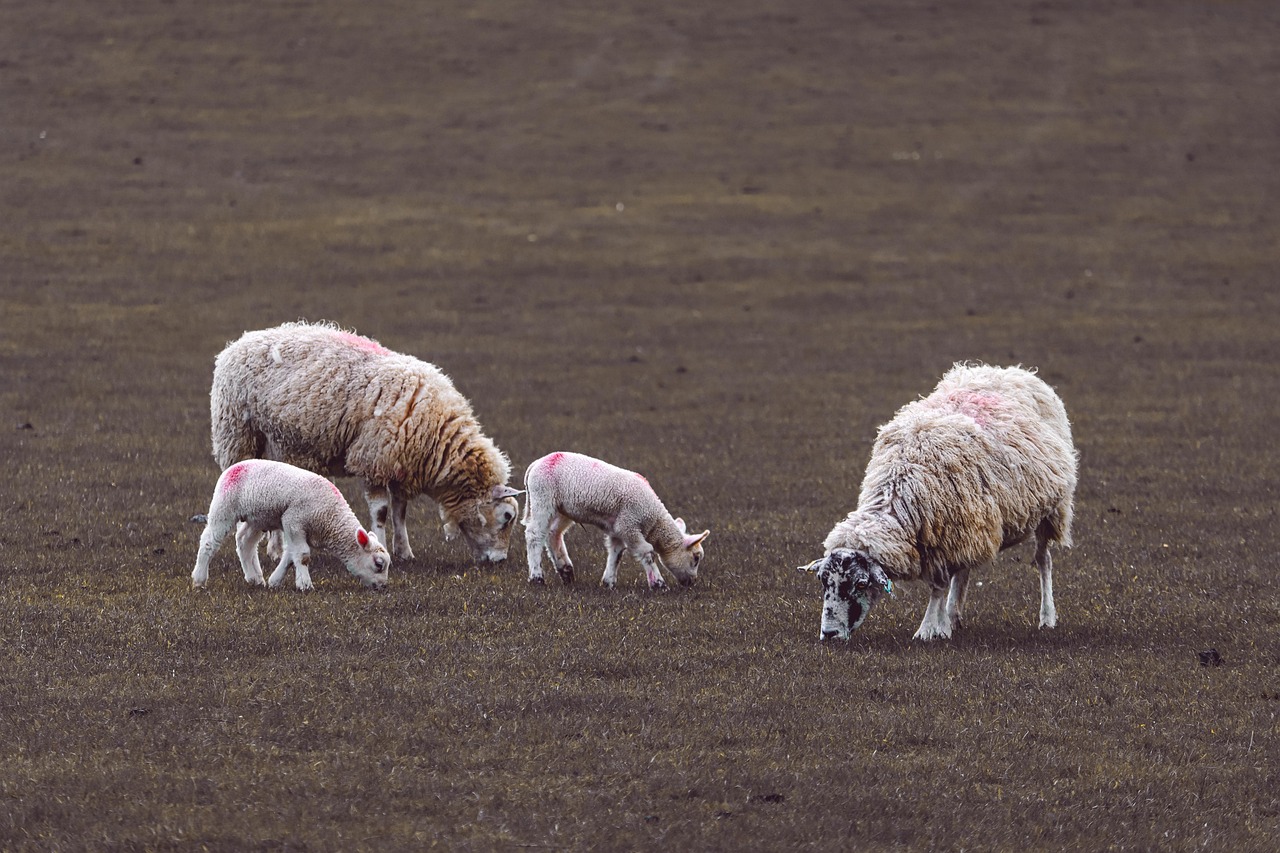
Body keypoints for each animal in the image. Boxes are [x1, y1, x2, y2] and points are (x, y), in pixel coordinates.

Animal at [190, 458, 389, 591]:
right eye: (379, 564)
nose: (383, 587)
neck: (331, 518)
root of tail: (233, 467)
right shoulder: (293, 520)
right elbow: (302, 556)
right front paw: (305, 585)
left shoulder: (300, 528)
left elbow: (290, 556)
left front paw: (274, 581)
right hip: (224, 507)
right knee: (208, 541)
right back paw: (199, 579)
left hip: (257, 518)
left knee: (245, 542)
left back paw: (255, 579)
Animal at [212, 318, 522, 563]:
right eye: (507, 517)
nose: (499, 560)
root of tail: (237, 343)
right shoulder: (374, 460)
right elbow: (382, 512)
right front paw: (382, 547)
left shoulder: (400, 465)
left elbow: (400, 512)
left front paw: (405, 551)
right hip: (239, 437)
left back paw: (276, 550)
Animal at [519, 448, 711, 589]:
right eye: (696, 558)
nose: (692, 583)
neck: (653, 518)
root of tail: (536, 463)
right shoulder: (629, 525)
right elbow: (647, 552)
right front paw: (658, 584)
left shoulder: (617, 528)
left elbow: (616, 553)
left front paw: (608, 582)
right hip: (543, 498)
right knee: (534, 535)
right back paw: (537, 577)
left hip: (562, 509)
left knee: (553, 534)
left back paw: (566, 572)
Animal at [798, 361, 1080, 640]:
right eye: (823, 581)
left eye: (861, 583)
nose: (829, 633)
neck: (899, 482)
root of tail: (1010, 370)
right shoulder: (948, 535)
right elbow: (944, 582)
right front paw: (941, 624)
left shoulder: (946, 537)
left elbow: (937, 586)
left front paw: (928, 629)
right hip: (972, 524)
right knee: (964, 571)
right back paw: (954, 615)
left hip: (1051, 510)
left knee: (1043, 561)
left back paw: (1047, 617)